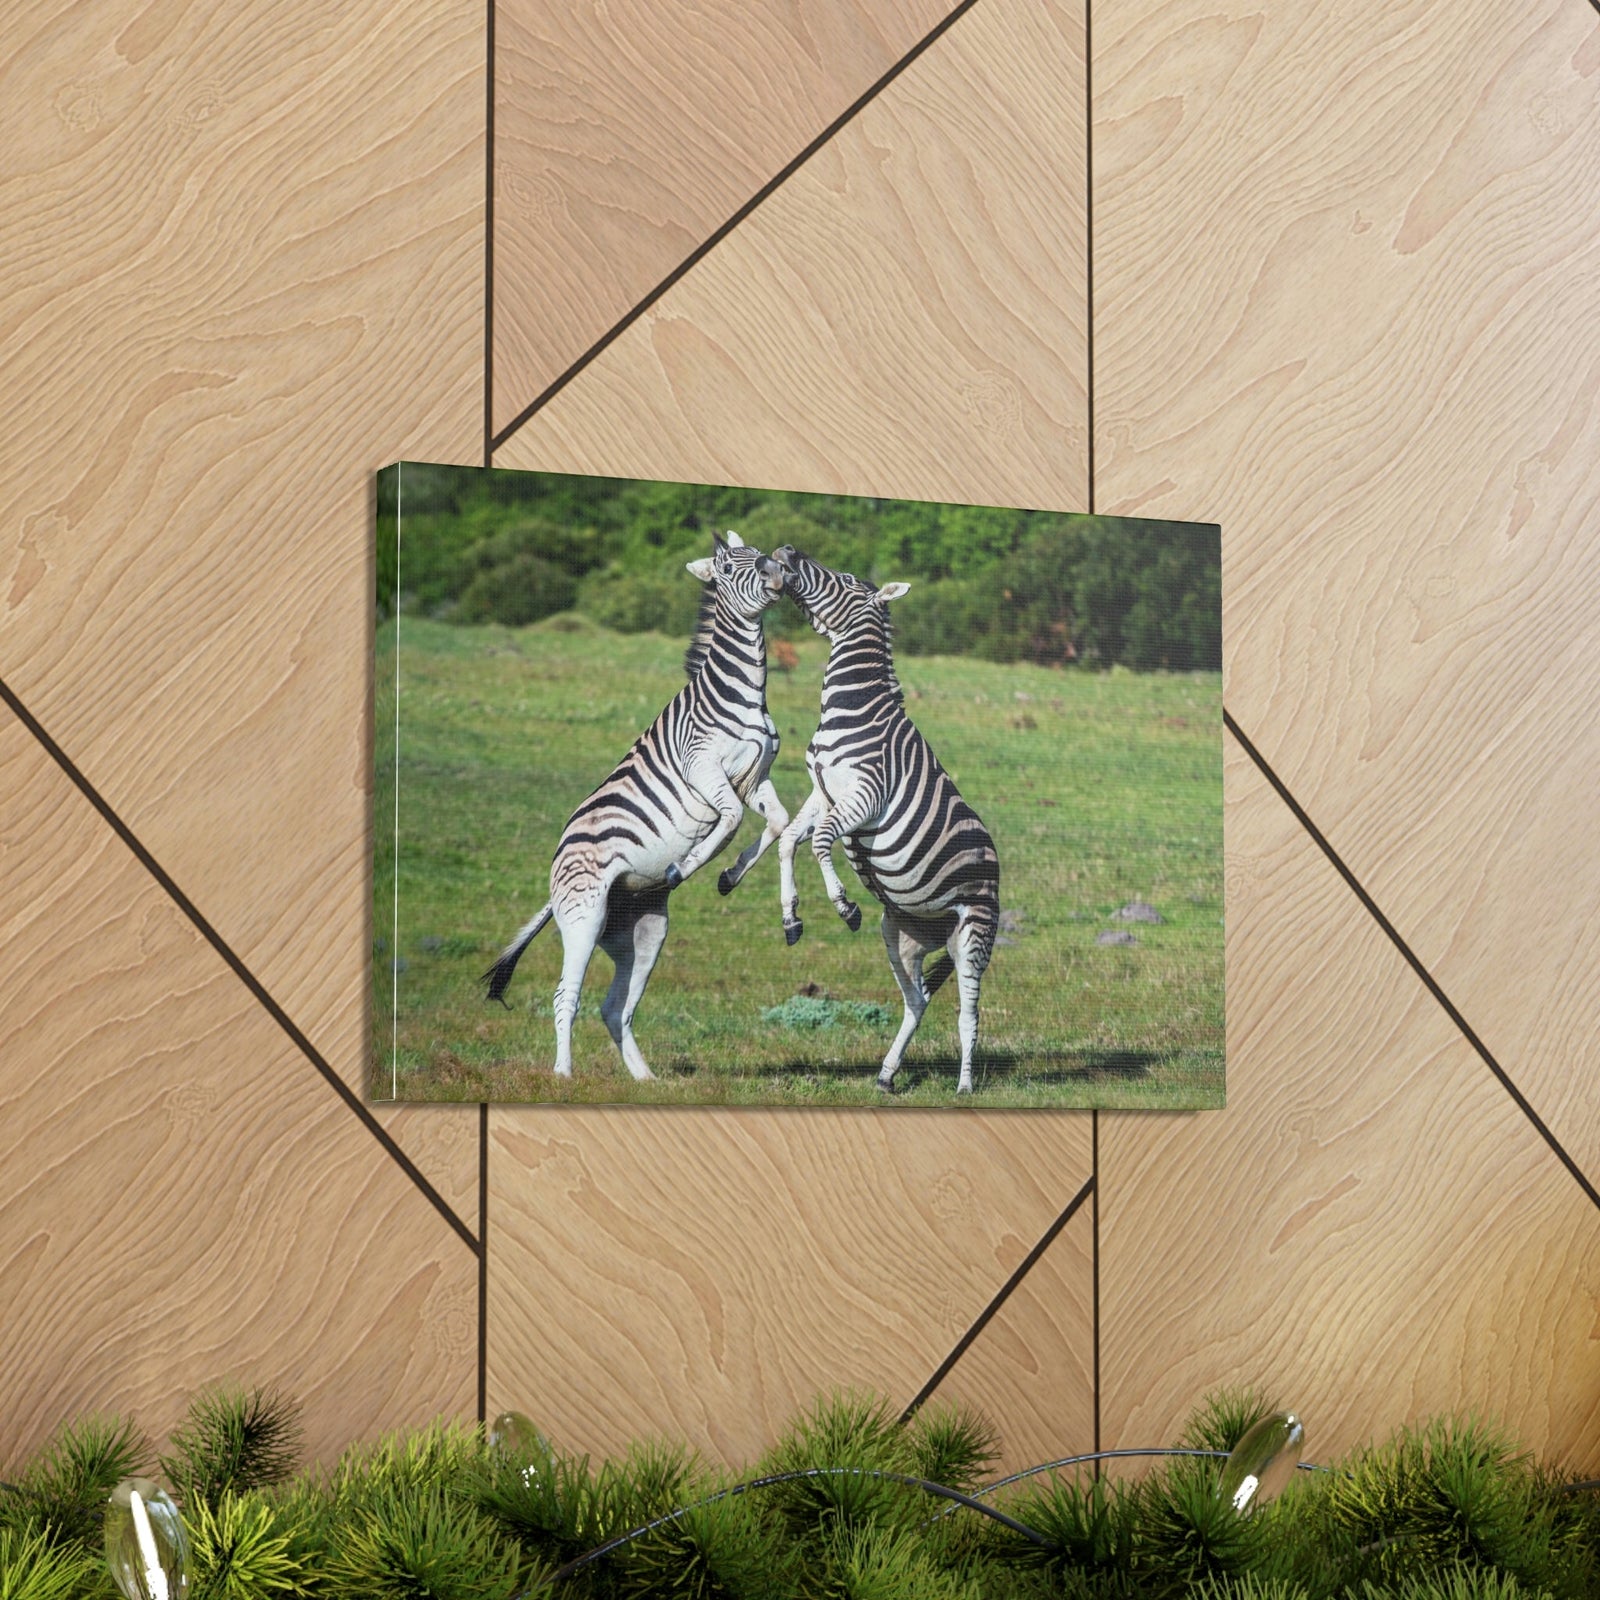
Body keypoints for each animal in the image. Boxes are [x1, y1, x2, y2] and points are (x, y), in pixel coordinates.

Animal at [481, 531, 788, 1081]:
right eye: (732, 567)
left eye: (759, 555)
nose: (778, 572)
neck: (746, 694)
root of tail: (557, 867)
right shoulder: (704, 769)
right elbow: (730, 821)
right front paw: (688, 864)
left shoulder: (755, 777)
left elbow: (777, 820)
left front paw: (729, 877)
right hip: (584, 916)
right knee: (566, 994)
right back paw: (563, 1074)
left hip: (641, 931)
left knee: (615, 1006)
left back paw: (644, 1078)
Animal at [762, 545, 1000, 1094]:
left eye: (848, 578)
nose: (785, 552)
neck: (851, 706)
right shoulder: (822, 790)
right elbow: (789, 841)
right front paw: (791, 917)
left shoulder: (866, 795)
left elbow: (821, 842)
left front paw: (843, 904)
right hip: (903, 935)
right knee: (917, 1000)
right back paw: (888, 1075)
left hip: (974, 933)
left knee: (969, 1012)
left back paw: (964, 1086)